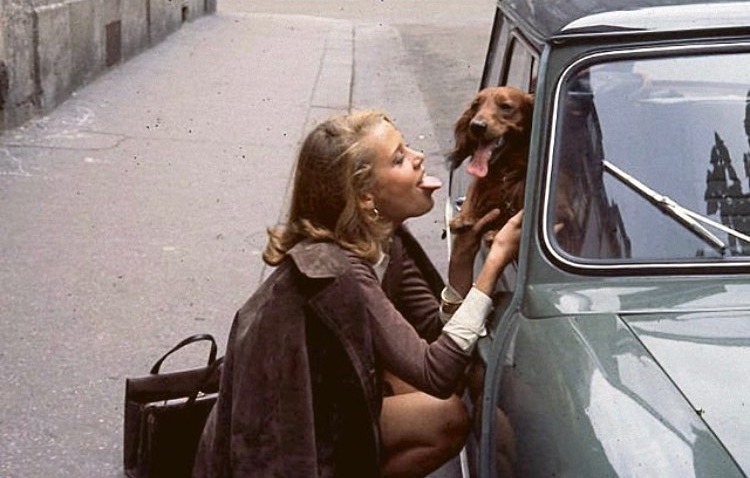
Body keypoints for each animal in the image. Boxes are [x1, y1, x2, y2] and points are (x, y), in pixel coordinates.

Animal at [446, 85, 536, 238]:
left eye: (505, 106)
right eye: (475, 105)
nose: (476, 126)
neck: (505, 170)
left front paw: (497, 231)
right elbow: (476, 185)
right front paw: (464, 216)